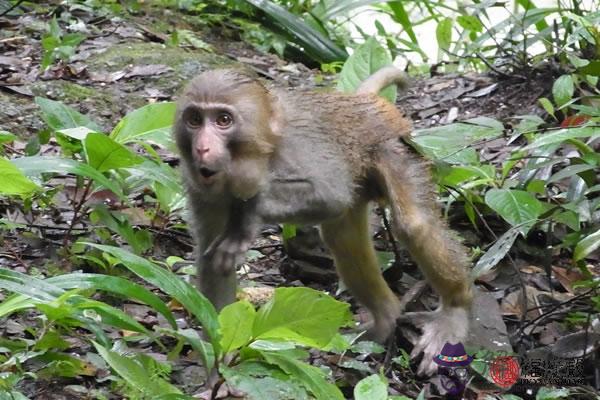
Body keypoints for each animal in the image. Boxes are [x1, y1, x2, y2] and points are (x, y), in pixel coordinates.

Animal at [172, 66, 474, 376]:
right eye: (194, 120)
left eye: (223, 120)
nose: (202, 148)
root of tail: (362, 101)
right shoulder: (200, 187)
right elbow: (212, 263)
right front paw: (218, 367)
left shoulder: (300, 150)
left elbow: (331, 195)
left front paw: (247, 216)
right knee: (342, 234)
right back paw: (386, 316)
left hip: (393, 147)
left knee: (412, 225)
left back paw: (454, 310)